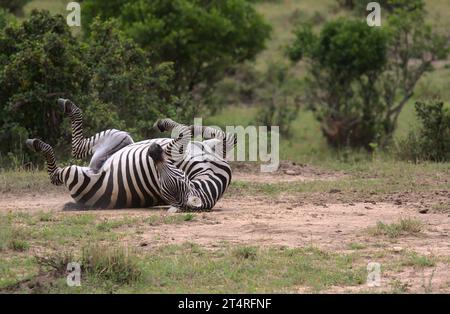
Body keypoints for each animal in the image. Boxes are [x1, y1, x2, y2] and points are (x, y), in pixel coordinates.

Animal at [25, 98, 237, 211]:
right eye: (178, 177)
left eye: (171, 180)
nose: (152, 150)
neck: (211, 173)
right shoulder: (213, 149)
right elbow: (225, 136)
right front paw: (189, 126)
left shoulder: (171, 152)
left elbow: (184, 133)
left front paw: (172, 125)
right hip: (120, 139)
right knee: (79, 147)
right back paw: (66, 107)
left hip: (79, 171)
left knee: (63, 165)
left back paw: (38, 143)